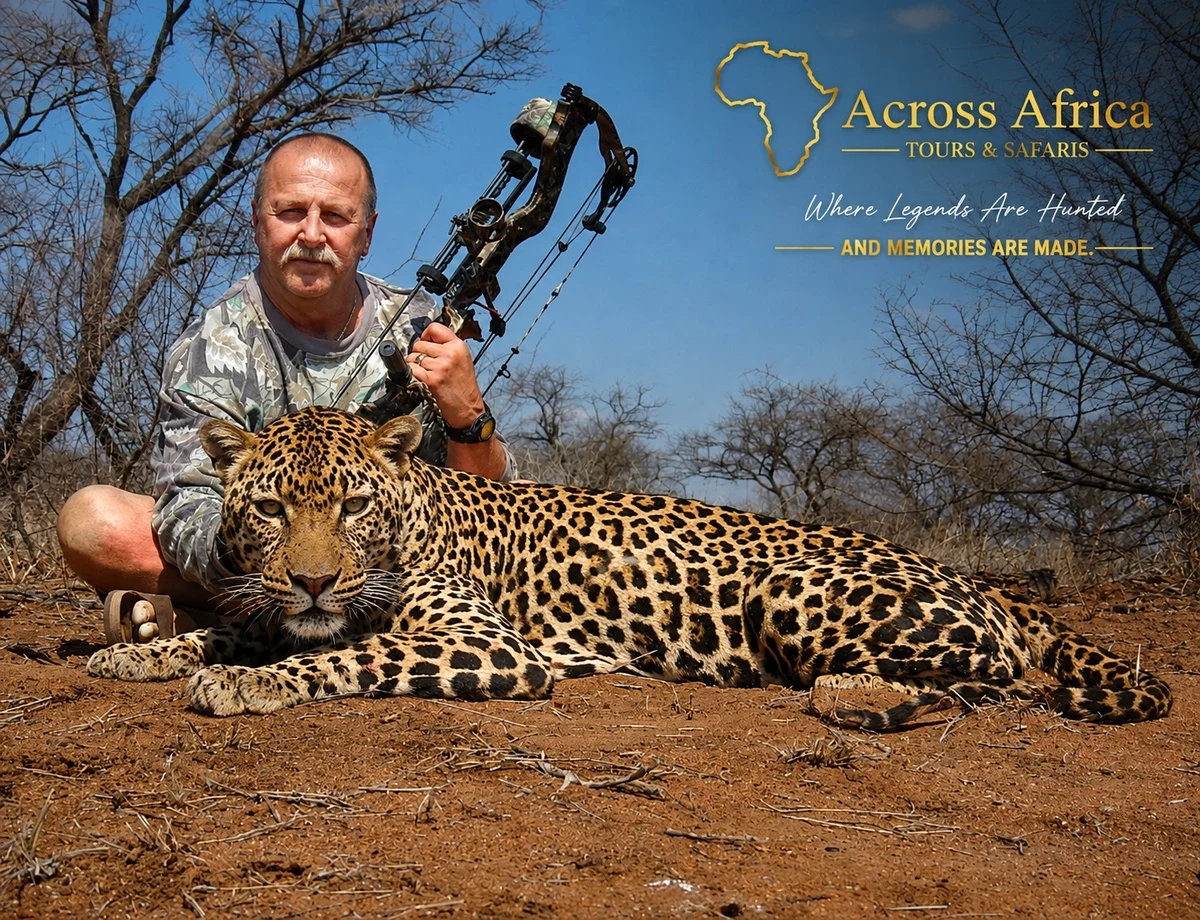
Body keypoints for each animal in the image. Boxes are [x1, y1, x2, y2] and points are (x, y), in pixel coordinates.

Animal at [88, 406, 1172, 728]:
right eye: (272, 508)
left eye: (353, 505)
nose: (315, 579)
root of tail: (984, 581)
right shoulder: (284, 603)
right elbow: (237, 623)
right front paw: (140, 651)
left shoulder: (490, 645)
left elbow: (345, 654)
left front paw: (244, 682)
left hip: (792, 589)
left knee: (1003, 682)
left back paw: (857, 696)